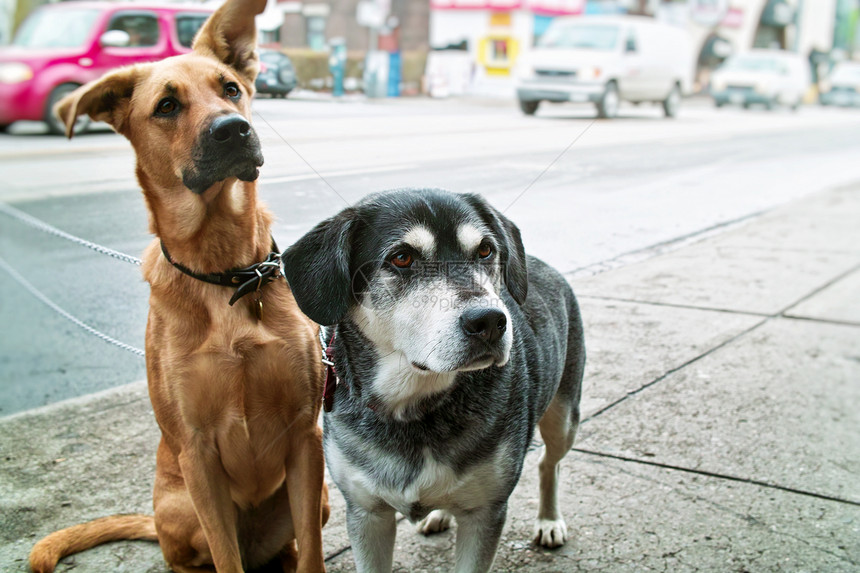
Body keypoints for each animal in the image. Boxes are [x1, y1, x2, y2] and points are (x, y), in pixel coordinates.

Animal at [27, 0, 330, 568]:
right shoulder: (198, 455)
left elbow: (313, 556)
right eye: (167, 106)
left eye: (230, 88)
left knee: (290, 546)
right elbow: (226, 558)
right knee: (190, 556)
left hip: (313, 496)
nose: (234, 129)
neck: (226, 274)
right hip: (179, 507)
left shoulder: (306, 436)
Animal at [282, 190, 584, 568]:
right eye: (402, 257)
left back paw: (549, 520)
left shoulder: (485, 512)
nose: (490, 322)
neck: (414, 408)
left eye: (485, 250)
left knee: (549, 463)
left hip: (564, 417)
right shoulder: (366, 513)